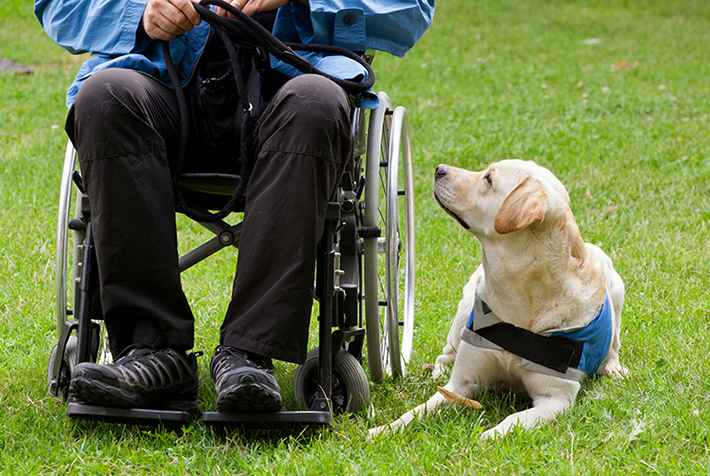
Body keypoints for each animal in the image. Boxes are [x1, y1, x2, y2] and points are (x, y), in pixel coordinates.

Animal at [372, 162, 628, 440]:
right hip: (465, 308)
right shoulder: (461, 384)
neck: (520, 296)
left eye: (488, 179)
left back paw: (612, 368)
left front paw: (485, 437)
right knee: (445, 355)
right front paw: (384, 429)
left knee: (614, 344)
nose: (439, 169)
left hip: (616, 287)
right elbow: (418, 410)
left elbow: (512, 420)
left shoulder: (554, 399)